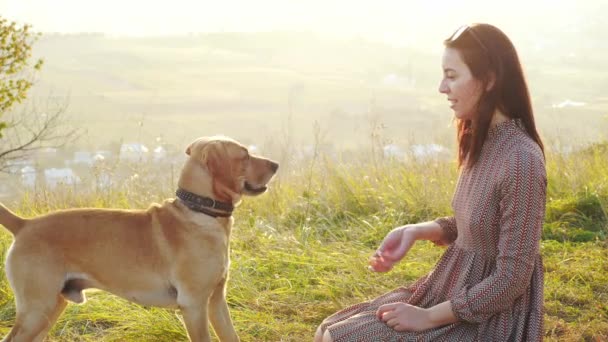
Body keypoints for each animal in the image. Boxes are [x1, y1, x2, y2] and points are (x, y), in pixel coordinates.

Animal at [0, 136, 278, 342]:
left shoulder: (217, 302)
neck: (200, 211)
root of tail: (24, 224)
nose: (276, 164)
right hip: (37, 310)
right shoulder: (194, 306)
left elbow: (231, 336)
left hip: (49, 310)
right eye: (244, 154)